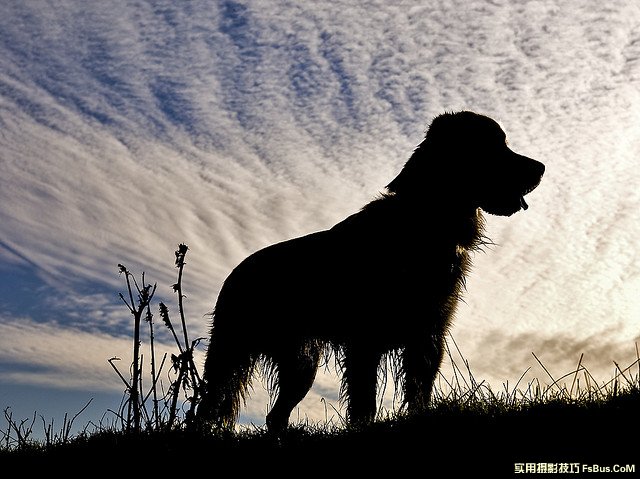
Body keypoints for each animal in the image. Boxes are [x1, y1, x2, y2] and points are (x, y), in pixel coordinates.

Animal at [196, 112, 544, 436]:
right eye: (495, 145)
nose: (541, 168)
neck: (424, 224)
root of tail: (236, 273)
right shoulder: (366, 340)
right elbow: (365, 402)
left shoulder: (428, 335)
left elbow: (419, 392)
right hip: (231, 352)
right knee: (206, 405)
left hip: (301, 363)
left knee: (275, 414)